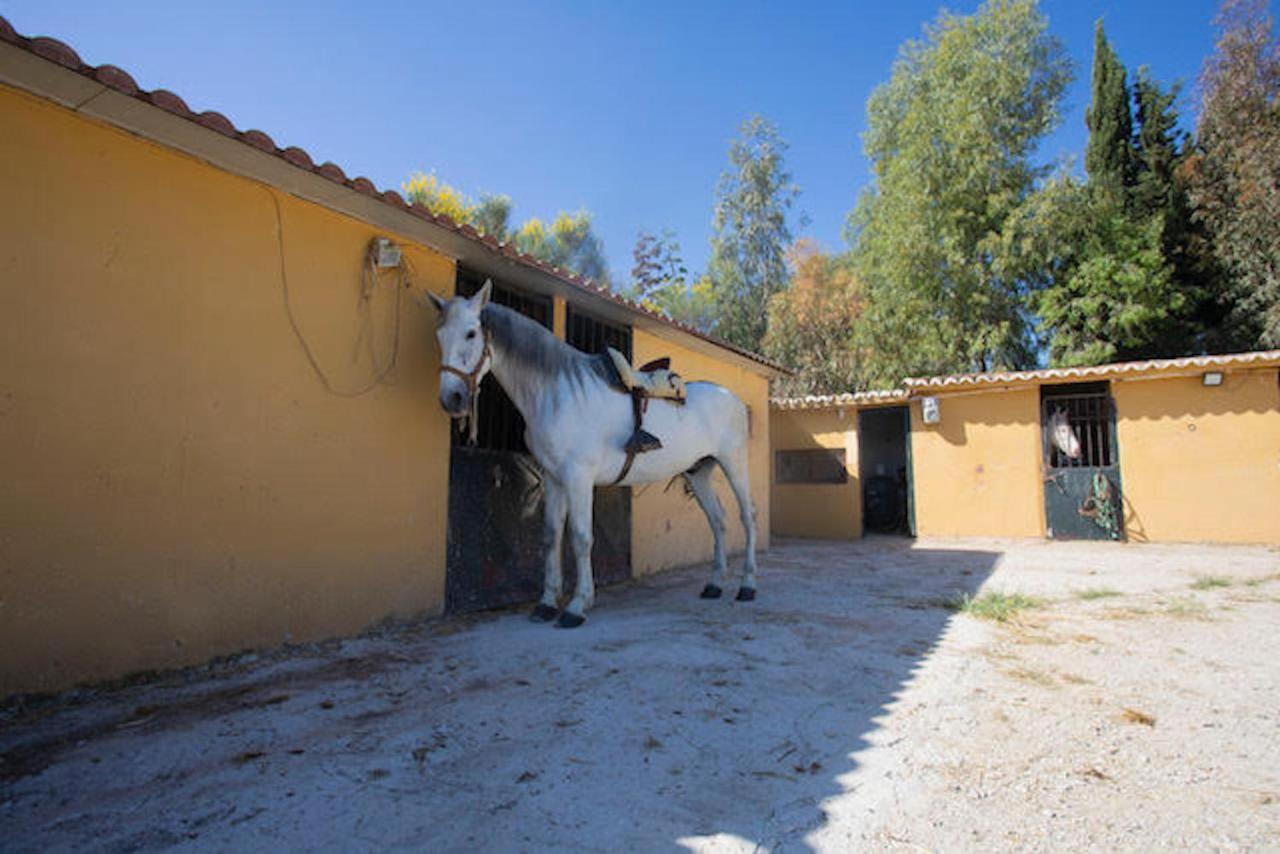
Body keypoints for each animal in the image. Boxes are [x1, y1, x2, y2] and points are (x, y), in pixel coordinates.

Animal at [424, 280, 752, 627]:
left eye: (471, 333)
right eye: (439, 335)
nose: (452, 399)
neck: (555, 393)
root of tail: (732, 397)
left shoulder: (578, 477)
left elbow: (581, 537)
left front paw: (577, 606)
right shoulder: (553, 478)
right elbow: (552, 536)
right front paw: (546, 603)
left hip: (734, 464)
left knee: (748, 517)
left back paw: (747, 586)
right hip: (698, 472)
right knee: (718, 520)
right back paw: (714, 585)